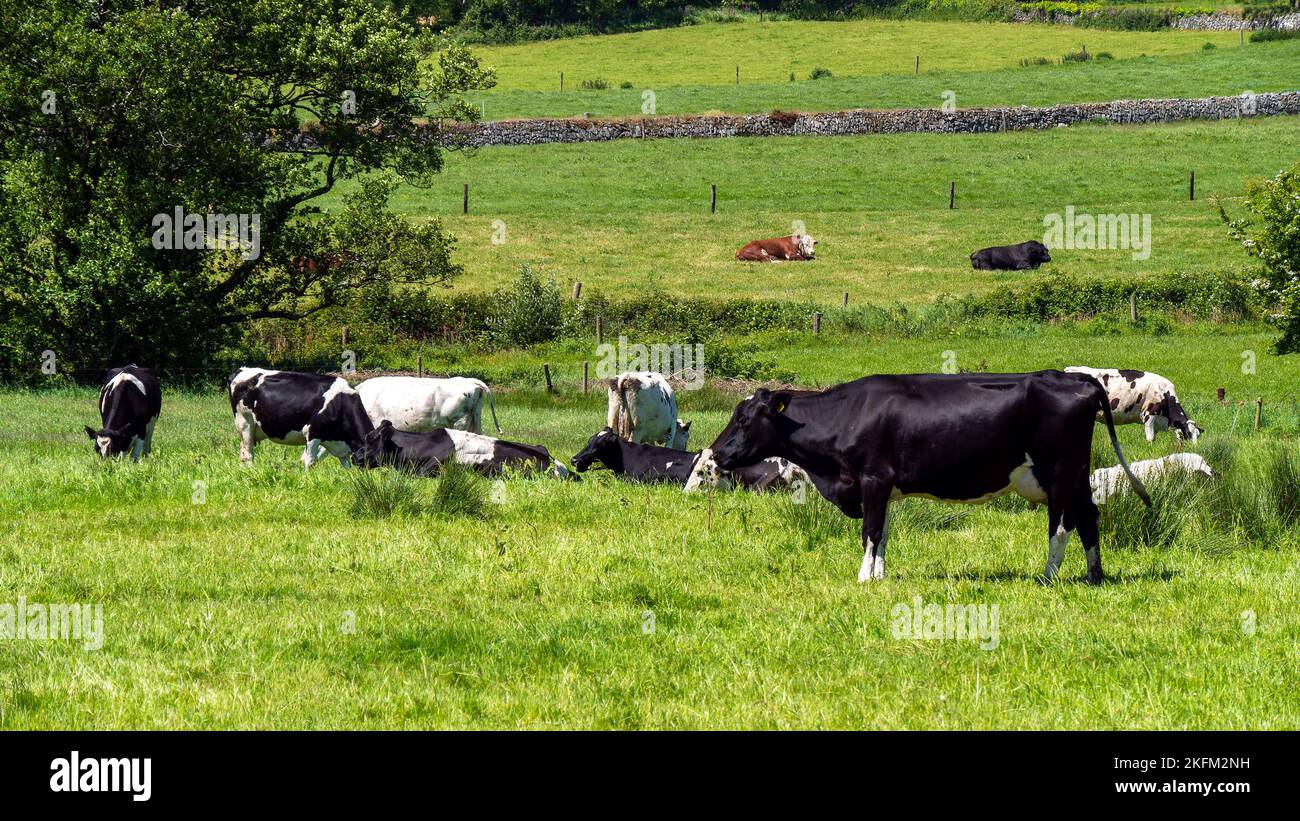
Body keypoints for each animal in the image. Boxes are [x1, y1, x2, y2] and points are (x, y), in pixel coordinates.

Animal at [226, 366, 371, 467]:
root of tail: (241, 369)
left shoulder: (340, 445)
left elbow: (347, 466)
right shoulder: (312, 432)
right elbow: (310, 460)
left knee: (243, 453)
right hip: (245, 423)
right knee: (248, 454)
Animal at [712, 371, 1149, 584]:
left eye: (745, 418)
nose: (716, 453)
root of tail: (1072, 378)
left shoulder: (873, 479)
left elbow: (870, 531)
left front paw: (864, 578)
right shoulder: (884, 488)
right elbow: (884, 533)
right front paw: (880, 575)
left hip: (1058, 473)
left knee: (1061, 524)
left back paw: (1047, 577)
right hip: (1076, 475)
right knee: (1089, 518)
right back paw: (1094, 575)